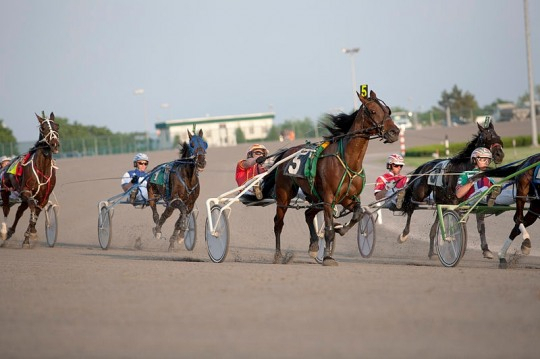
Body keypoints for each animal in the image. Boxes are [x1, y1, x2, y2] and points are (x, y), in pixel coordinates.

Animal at [0, 112, 59, 248]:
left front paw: (29, 236)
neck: (42, 168)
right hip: (5, 191)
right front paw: (31, 232)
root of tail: (5, 166)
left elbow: (35, 214)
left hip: (22, 198)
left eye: (57, 126)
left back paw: (11, 232)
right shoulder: (26, 192)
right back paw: (4, 233)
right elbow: (33, 208)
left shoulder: (43, 198)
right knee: (6, 209)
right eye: (43, 128)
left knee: (19, 212)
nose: (55, 144)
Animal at [264, 90, 398, 266]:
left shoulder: (347, 198)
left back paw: (314, 246)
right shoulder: (329, 199)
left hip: (315, 197)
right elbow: (328, 230)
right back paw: (278, 255)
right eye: (373, 111)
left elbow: (357, 214)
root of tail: (286, 153)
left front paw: (340, 229)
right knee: (278, 223)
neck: (348, 161)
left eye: (388, 110)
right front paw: (328, 257)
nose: (395, 132)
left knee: (308, 214)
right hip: (284, 196)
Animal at [396, 121, 506, 258]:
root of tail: (425, 165)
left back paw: (432, 251)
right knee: (410, 206)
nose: (499, 154)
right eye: (486, 137)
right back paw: (404, 234)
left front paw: (486, 249)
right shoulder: (454, 202)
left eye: (497, 135)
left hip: (440, 201)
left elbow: (480, 226)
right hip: (419, 193)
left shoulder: (473, 201)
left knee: (434, 227)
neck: (465, 169)